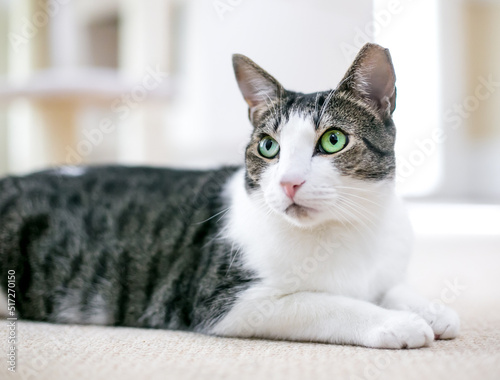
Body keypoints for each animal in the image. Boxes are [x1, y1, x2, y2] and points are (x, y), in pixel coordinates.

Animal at [0, 43, 460, 348]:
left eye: (333, 140)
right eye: (269, 147)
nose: (289, 182)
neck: (347, 229)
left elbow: (392, 286)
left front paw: (430, 309)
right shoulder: (225, 300)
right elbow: (324, 303)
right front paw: (396, 322)